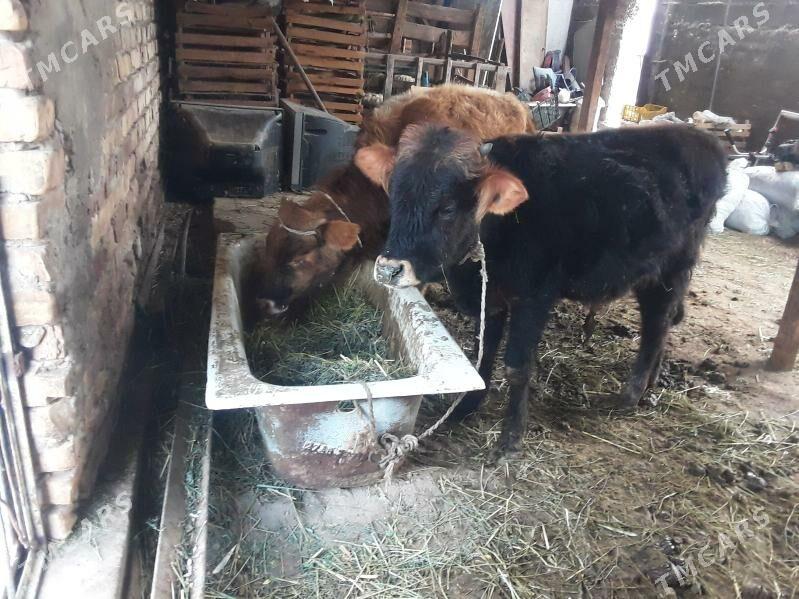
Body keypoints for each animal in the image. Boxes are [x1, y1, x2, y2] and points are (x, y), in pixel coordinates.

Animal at [354, 124, 727, 454]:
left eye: (446, 207)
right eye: (393, 194)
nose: (388, 269)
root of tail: (702, 139)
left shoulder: (534, 298)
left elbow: (517, 368)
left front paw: (511, 439)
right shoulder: (489, 298)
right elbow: (482, 355)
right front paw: (466, 408)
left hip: (671, 269)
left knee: (657, 324)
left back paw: (631, 394)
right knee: (666, 323)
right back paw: (650, 382)